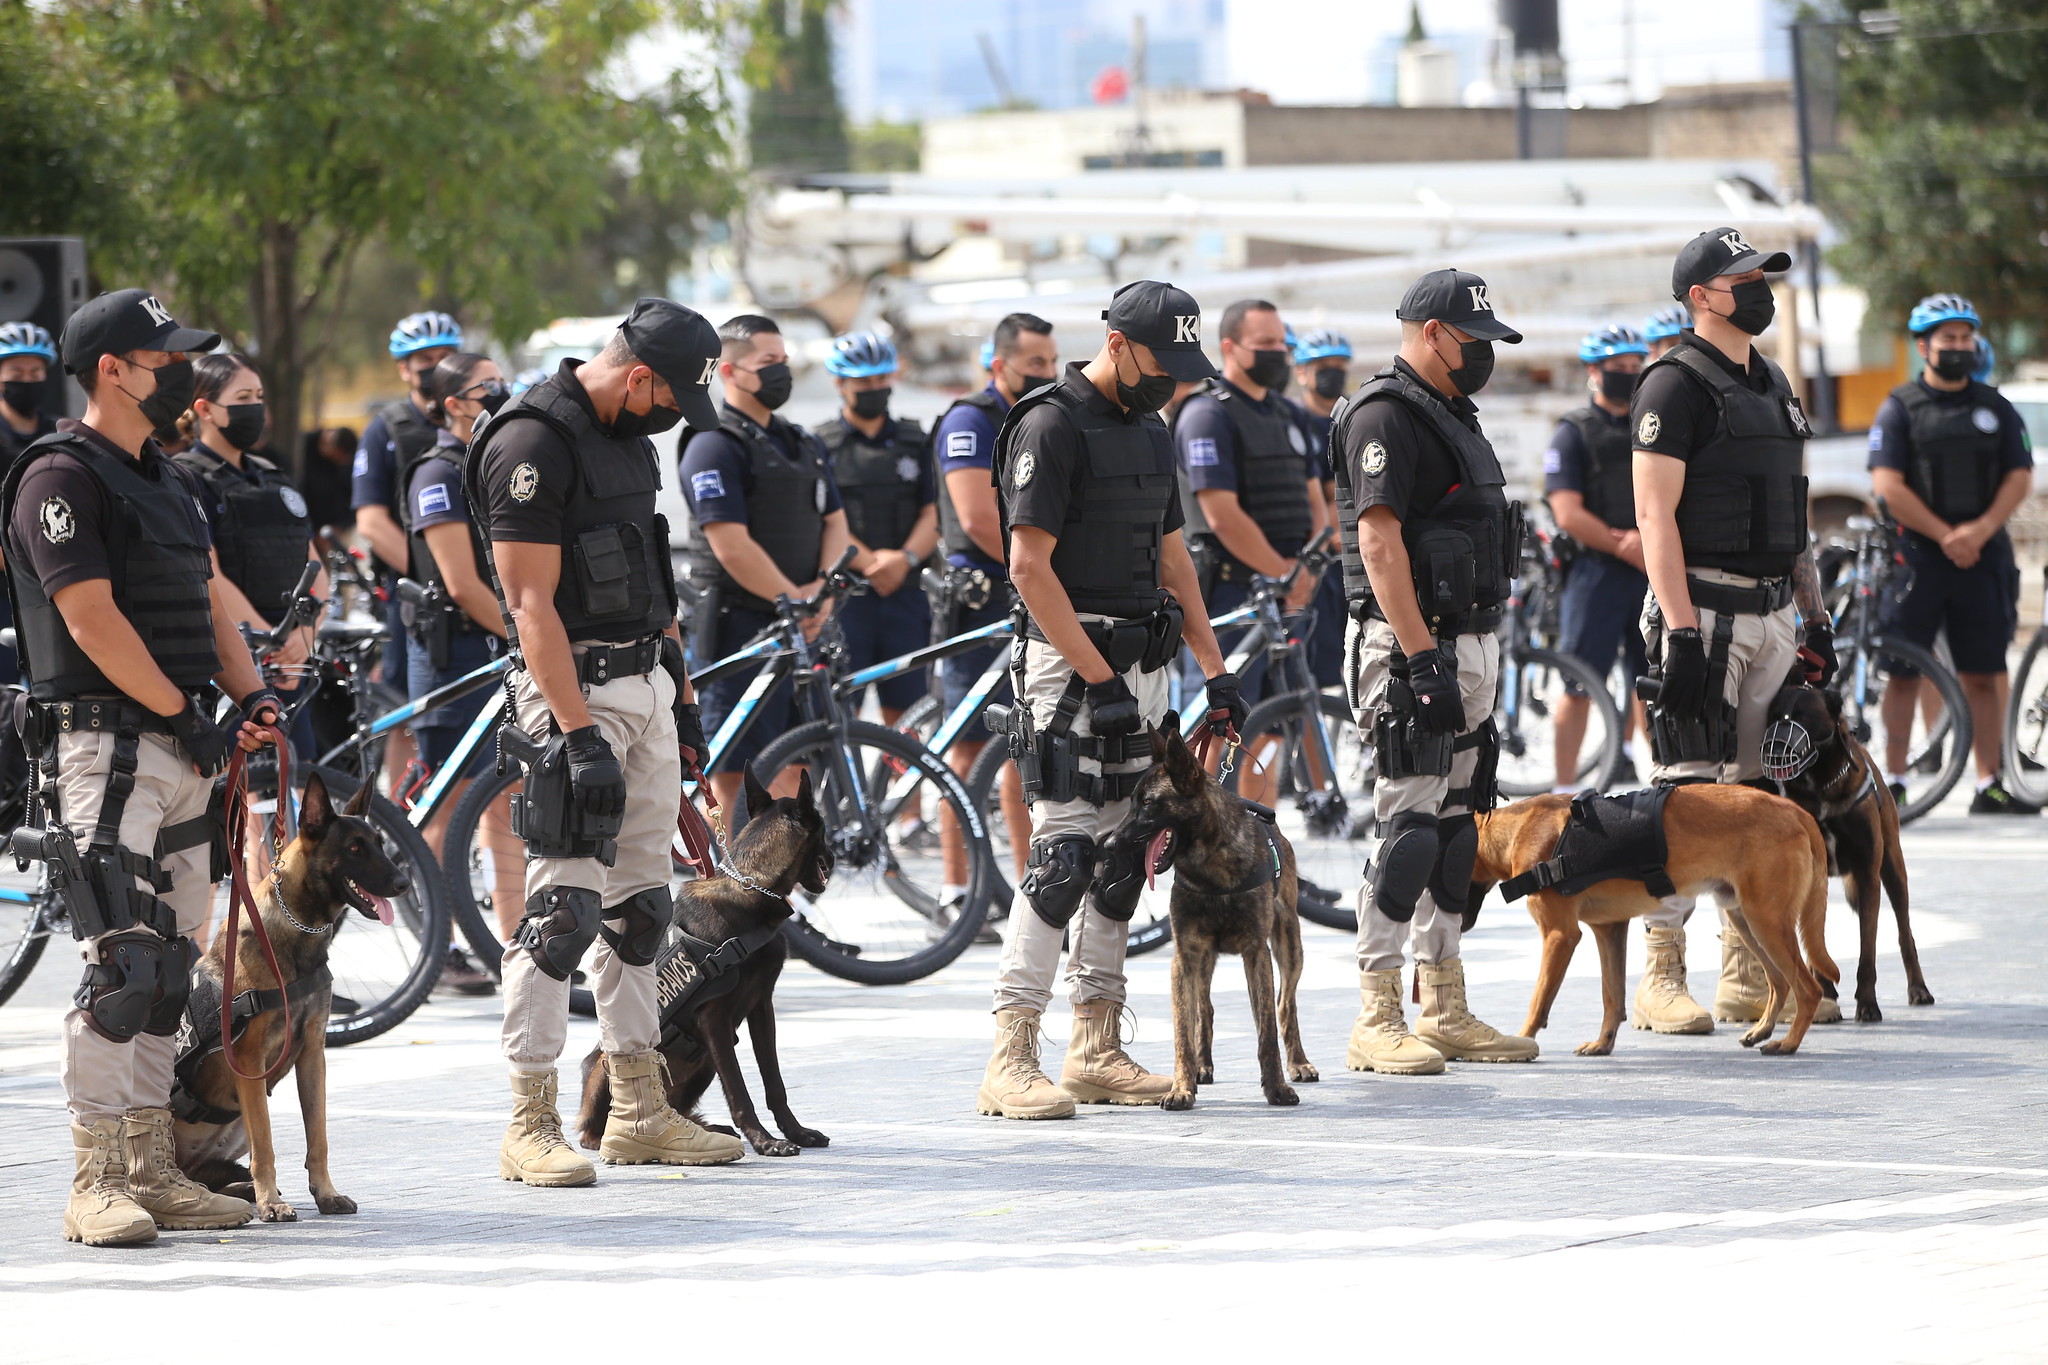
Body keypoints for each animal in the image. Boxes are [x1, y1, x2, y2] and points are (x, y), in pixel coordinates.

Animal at [176, 773, 415, 1219]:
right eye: (355, 848)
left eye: (379, 841)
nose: (404, 883)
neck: (297, 930)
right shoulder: (249, 1061)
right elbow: (266, 1145)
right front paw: (271, 1202)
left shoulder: (312, 1055)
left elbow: (317, 1138)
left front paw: (325, 1193)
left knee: (207, 1177)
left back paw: (237, 1191)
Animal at [573, 769, 827, 1154]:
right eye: (825, 831)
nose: (837, 853)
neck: (750, 889)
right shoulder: (714, 1020)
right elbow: (738, 1090)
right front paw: (765, 1141)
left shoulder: (761, 1009)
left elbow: (774, 1083)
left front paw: (795, 1132)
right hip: (612, 1063)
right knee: (598, 1131)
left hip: (705, 1059)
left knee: (678, 1112)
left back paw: (707, 1132)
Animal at [1105, 716, 1310, 1113]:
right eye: (1133, 801)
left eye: (1148, 803)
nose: (1108, 845)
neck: (1211, 868)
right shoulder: (1184, 957)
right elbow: (1183, 1031)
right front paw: (1181, 1087)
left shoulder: (1256, 953)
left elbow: (1266, 1030)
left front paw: (1276, 1088)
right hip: (1202, 962)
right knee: (1205, 1009)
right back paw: (1202, 1066)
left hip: (1289, 945)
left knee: (1286, 1005)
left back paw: (1300, 1063)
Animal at [1474, 785, 1843, 1064]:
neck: (1515, 832)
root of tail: (1795, 811)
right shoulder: (1609, 930)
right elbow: (1612, 995)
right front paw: (1603, 1043)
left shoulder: (1560, 935)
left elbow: (1538, 1000)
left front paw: (1521, 1040)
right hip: (1747, 920)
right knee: (1780, 981)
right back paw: (1762, 1031)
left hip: (1766, 920)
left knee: (1807, 988)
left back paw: (1788, 1043)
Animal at [1761, 679, 1933, 1019]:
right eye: (1773, 716)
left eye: (1802, 716)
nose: (1775, 748)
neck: (1821, 788)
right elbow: (1813, 943)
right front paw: (1824, 991)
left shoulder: (1869, 877)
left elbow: (1868, 951)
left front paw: (1867, 1004)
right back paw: (1825, 989)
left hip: (1894, 871)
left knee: (1905, 933)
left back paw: (1918, 989)